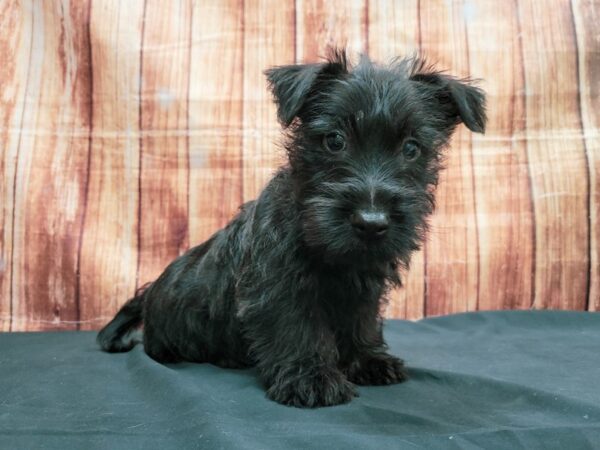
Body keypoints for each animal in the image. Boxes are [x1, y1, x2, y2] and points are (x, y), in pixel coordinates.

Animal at [97, 49, 482, 408]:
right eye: (334, 140)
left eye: (412, 148)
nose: (372, 223)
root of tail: (149, 292)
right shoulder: (278, 288)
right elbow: (297, 329)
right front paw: (312, 379)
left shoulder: (363, 288)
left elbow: (361, 322)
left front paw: (367, 361)